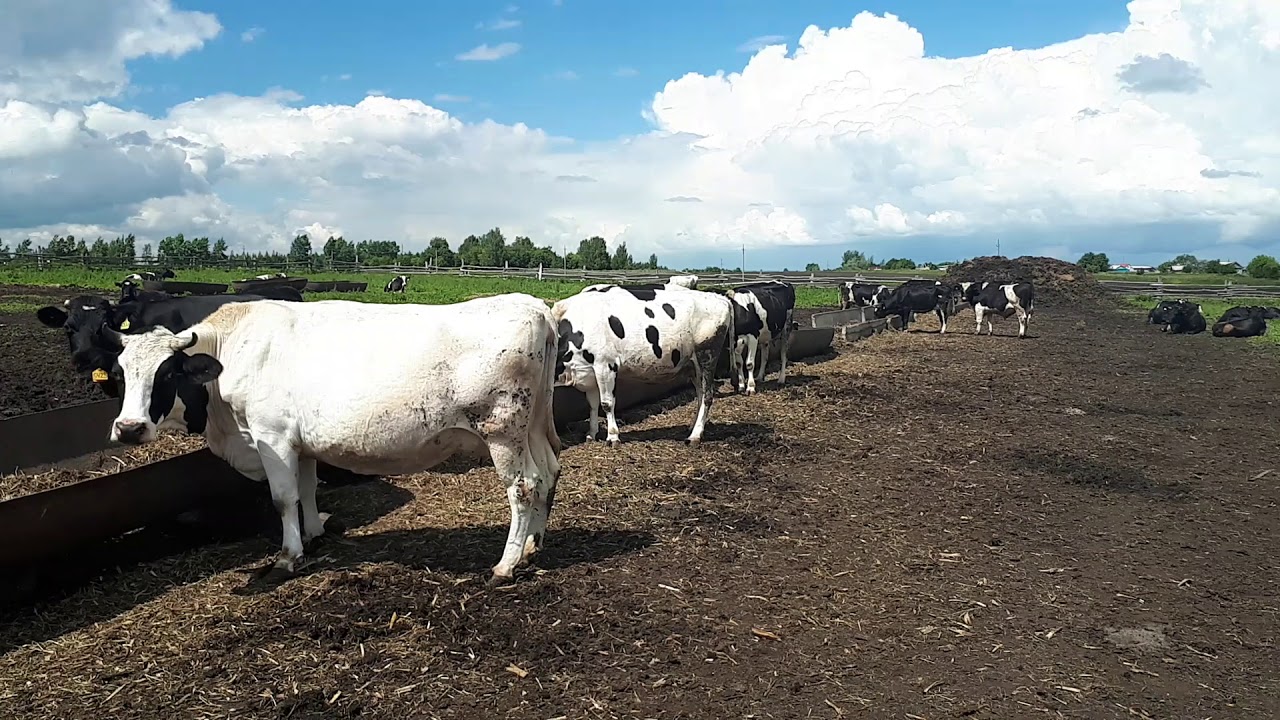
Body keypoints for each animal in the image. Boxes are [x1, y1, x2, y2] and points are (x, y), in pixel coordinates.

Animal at [99, 294, 560, 579]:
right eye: (120, 374)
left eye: (167, 373)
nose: (129, 428)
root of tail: (533, 305)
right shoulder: (298, 443)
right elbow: (306, 489)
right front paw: (313, 536)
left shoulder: (271, 437)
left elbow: (282, 497)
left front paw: (288, 557)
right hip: (534, 427)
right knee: (548, 475)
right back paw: (532, 547)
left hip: (502, 432)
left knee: (524, 487)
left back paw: (505, 565)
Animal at [552, 280, 742, 443]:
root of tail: (720, 298)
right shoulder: (588, 371)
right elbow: (592, 404)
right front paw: (591, 434)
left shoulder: (605, 364)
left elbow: (607, 403)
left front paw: (612, 436)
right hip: (693, 365)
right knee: (701, 394)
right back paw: (694, 428)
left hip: (707, 355)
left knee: (708, 395)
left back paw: (695, 436)